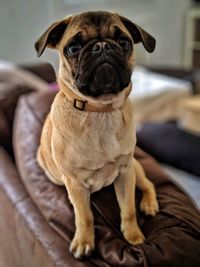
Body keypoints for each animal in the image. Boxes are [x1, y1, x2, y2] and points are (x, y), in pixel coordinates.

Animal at [35, 10, 159, 260]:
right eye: (73, 48)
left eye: (123, 42)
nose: (102, 46)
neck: (101, 111)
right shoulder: (75, 185)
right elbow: (85, 216)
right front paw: (84, 241)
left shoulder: (125, 173)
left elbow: (128, 208)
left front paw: (133, 235)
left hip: (136, 169)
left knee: (148, 184)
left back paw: (149, 205)